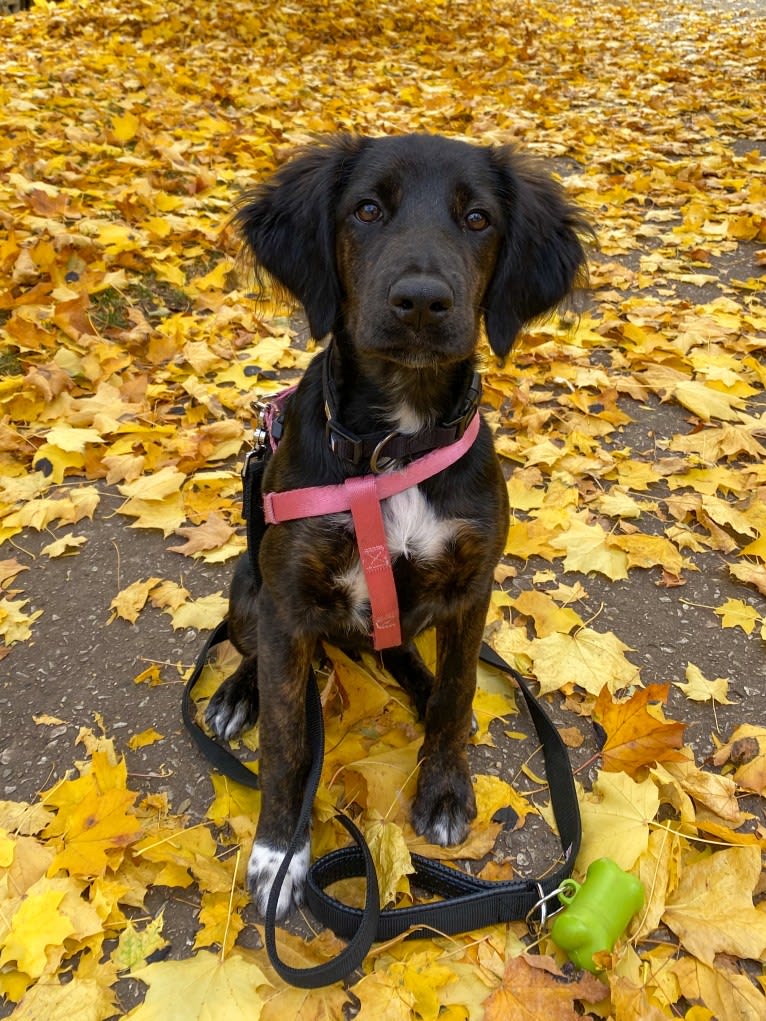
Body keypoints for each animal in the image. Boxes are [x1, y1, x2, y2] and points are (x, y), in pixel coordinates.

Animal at [207, 131, 592, 922]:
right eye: (367, 210)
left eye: (477, 219)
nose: (420, 301)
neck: (395, 442)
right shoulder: (287, 603)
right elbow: (289, 739)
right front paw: (279, 852)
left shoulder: (472, 585)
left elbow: (455, 693)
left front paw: (443, 789)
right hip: (248, 586)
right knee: (249, 649)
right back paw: (236, 695)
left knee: (411, 660)